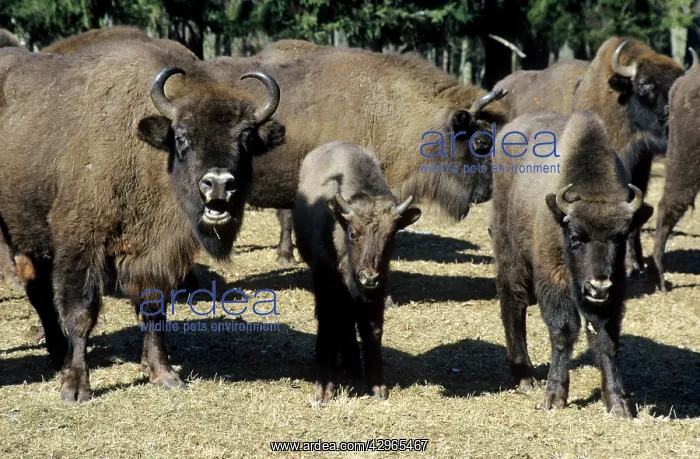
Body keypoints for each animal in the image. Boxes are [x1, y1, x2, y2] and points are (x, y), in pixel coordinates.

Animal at [0, 41, 285, 401]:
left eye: (246, 138)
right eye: (182, 137)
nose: (218, 183)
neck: (146, 156)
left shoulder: (156, 254)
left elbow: (153, 309)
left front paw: (163, 373)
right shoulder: (80, 243)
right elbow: (81, 312)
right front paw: (75, 387)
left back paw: (56, 352)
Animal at [293, 141, 421, 403]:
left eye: (391, 235)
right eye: (353, 233)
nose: (369, 277)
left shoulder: (376, 294)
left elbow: (372, 331)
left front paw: (378, 386)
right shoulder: (326, 286)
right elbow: (328, 326)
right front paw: (324, 389)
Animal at [491, 111, 653, 417]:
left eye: (620, 237)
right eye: (576, 236)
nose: (598, 287)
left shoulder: (614, 291)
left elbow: (605, 338)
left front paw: (618, 403)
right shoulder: (554, 279)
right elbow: (563, 332)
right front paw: (554, 397)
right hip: (510, 253)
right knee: (513, 301)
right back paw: (525, 377)